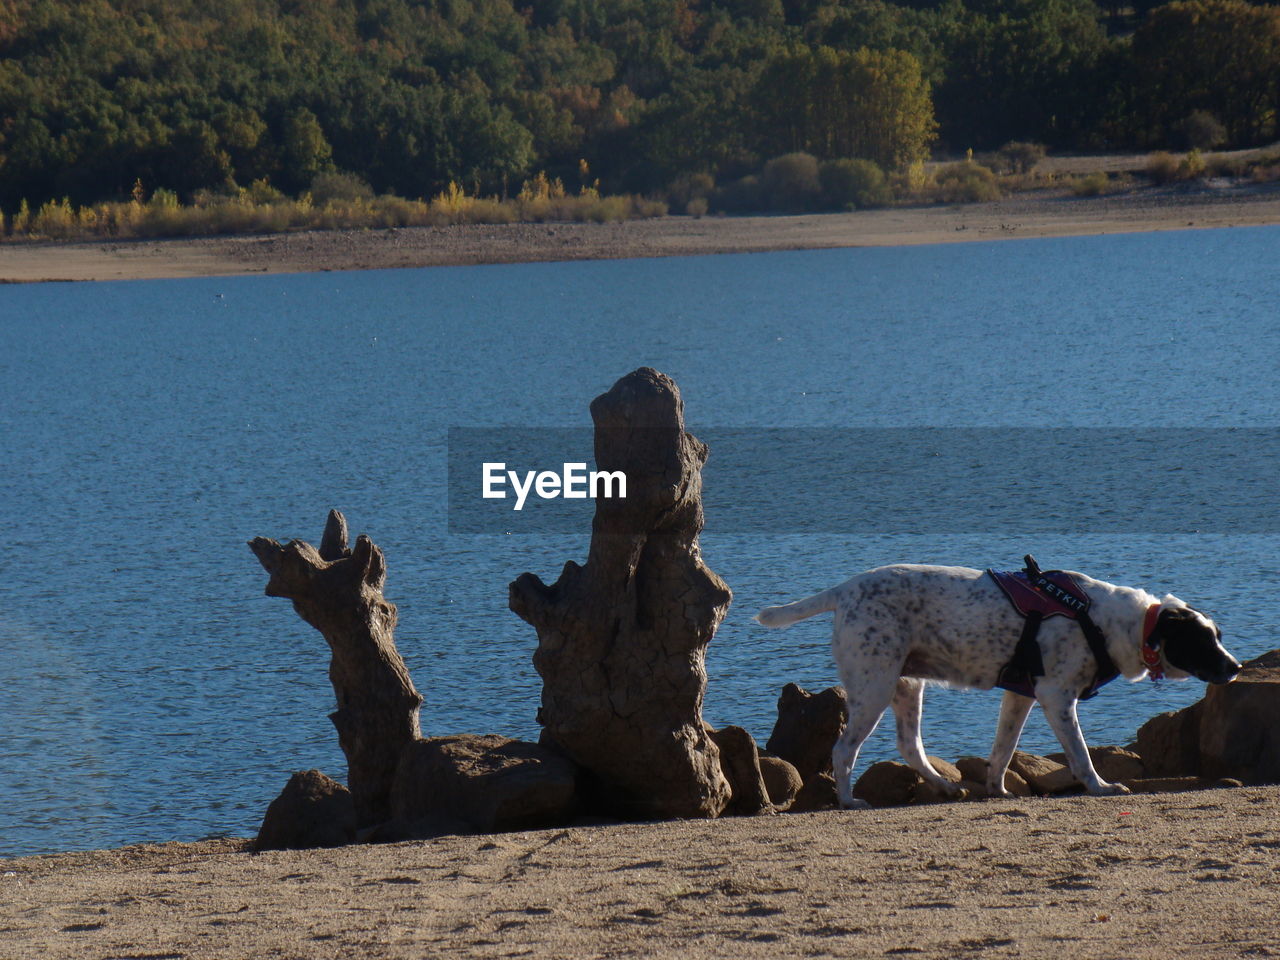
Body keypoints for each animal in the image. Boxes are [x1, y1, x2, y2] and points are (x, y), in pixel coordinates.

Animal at [757, 568, 1239, 808]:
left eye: (1218, 635)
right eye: (1203, 641)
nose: (1235, 668)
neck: (1109, 622)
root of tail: (844, 589)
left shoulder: (1020, 696)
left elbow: (1002, 752)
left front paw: (998, 789)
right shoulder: (1056, 697)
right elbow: (1081, 756)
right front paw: (1101, 787)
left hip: (906, 686)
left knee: (909, 745)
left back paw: (945, 786)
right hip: (874, 686)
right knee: (844, 751)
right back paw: (847, 800)